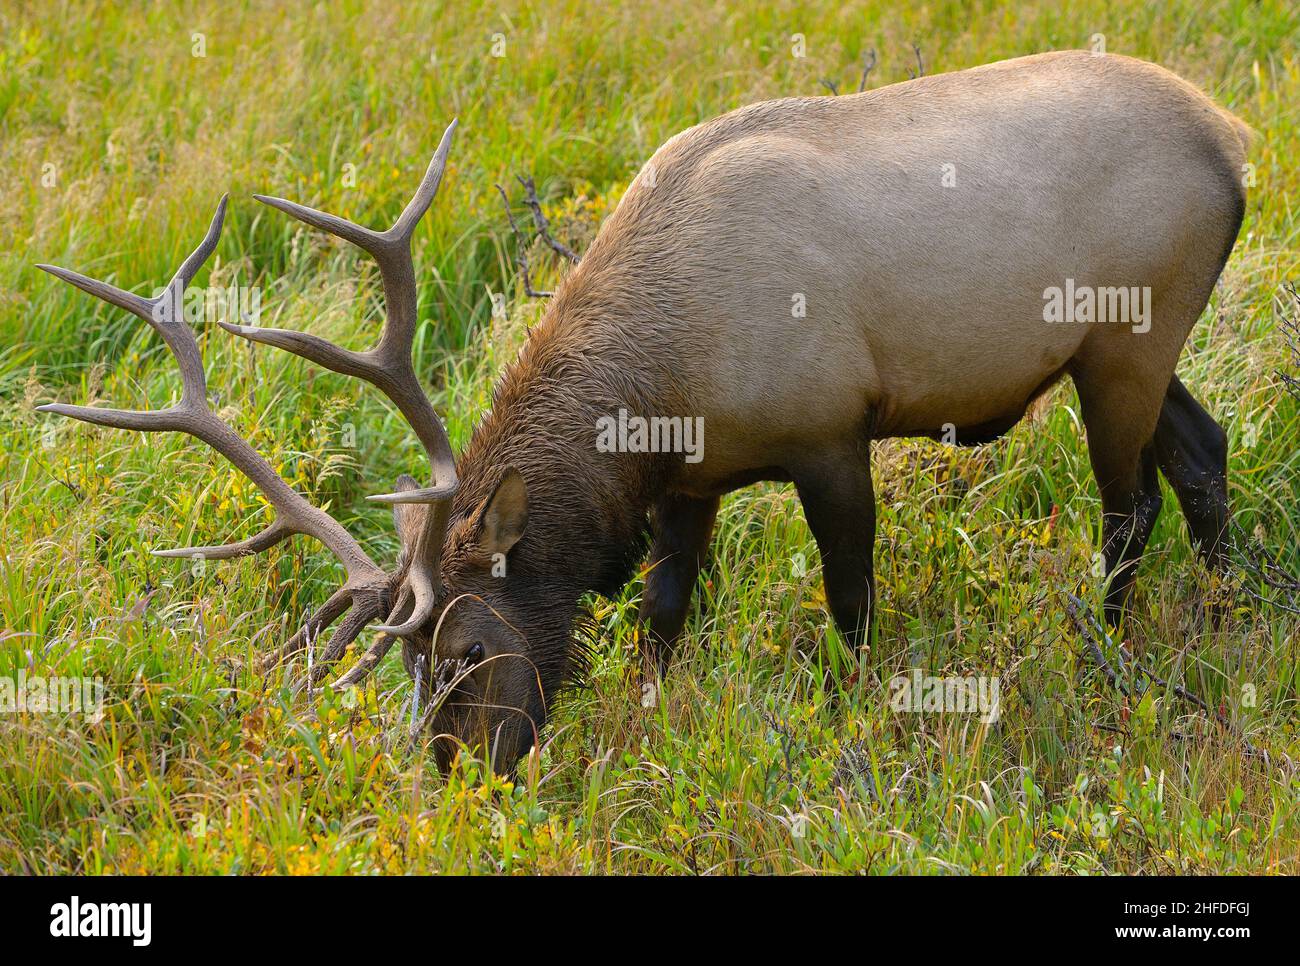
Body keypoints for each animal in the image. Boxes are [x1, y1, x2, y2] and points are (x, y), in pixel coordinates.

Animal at [43, 52, 1248, 774]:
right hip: (1124, 350)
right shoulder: (690, 481)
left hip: (1125, 339)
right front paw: (652, 722)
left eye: (467, 648)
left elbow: (851, 601)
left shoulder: (830, 429)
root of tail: (1232, 137)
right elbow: (661, 619)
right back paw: (1232, 613)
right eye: (405, 665)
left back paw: (1104, 651)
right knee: (1203, 450)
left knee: (1128, 503)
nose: (456, 778)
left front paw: (859, 717)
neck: (661, 382)